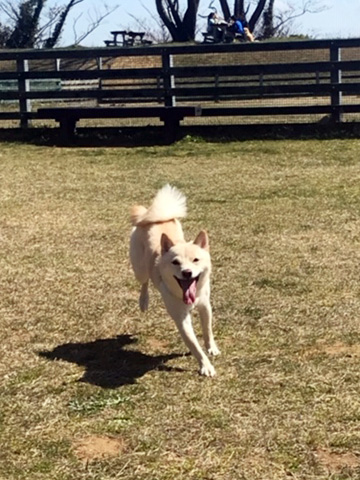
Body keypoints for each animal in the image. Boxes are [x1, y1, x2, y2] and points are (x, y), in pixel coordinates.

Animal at [129, 186, 219, 376]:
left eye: (196, 260)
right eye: (175, 262)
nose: (187, 272)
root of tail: (149, 216)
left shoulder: (205, 305)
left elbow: (207, 330)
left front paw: (212, 348)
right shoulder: (181, 318)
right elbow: (194, 345)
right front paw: (206, 366)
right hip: (140, 268)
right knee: (144, 281)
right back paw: (143, 301)